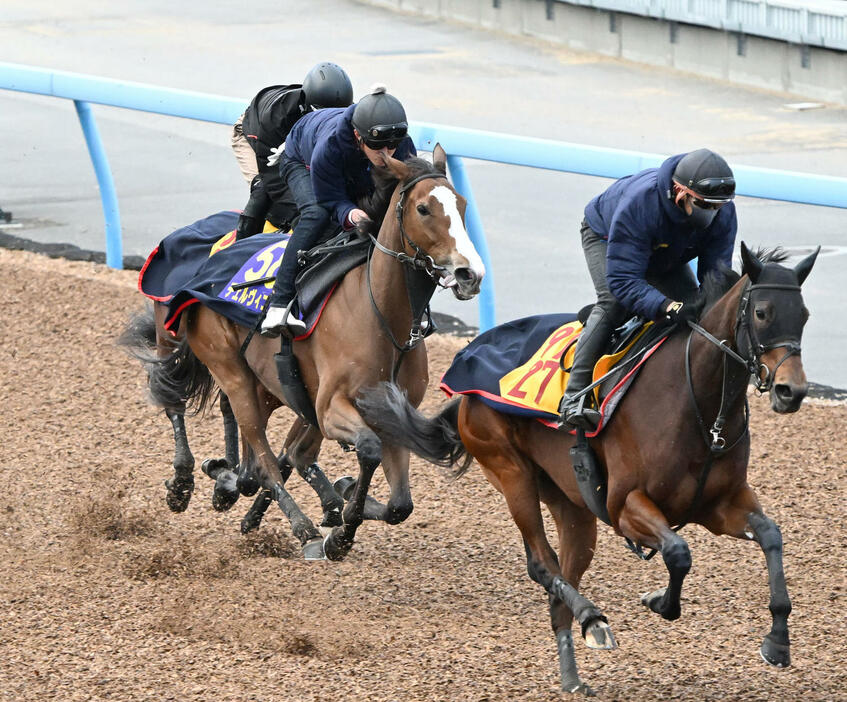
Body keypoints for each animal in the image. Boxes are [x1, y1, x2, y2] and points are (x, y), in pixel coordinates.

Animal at [124, 146, 484, 564]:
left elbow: (400, 505)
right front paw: (340, 531)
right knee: (241, 442)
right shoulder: (329, 408)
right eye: (424, 208)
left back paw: (232, 482)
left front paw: (345, 502)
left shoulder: (392, 412)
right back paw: (287, 522)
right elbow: (367, 449)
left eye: (462, 204)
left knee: (262, 457)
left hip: (268, 386)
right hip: (226, 367)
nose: (470, 274)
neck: (379, 314)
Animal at [360, 245, 820, 696]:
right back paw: (593, 618)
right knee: (542, 564)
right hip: (511, 473)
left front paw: (777, 641)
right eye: (762, 312)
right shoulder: (625, 506)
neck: (701, 411)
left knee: (561, 581)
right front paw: (660, 601)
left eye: (804, 314)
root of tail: (466, 369)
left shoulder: (720, 504)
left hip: (571, 503)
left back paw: (572, 674)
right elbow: (678, 551)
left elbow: (770, 535)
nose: (791, 391)